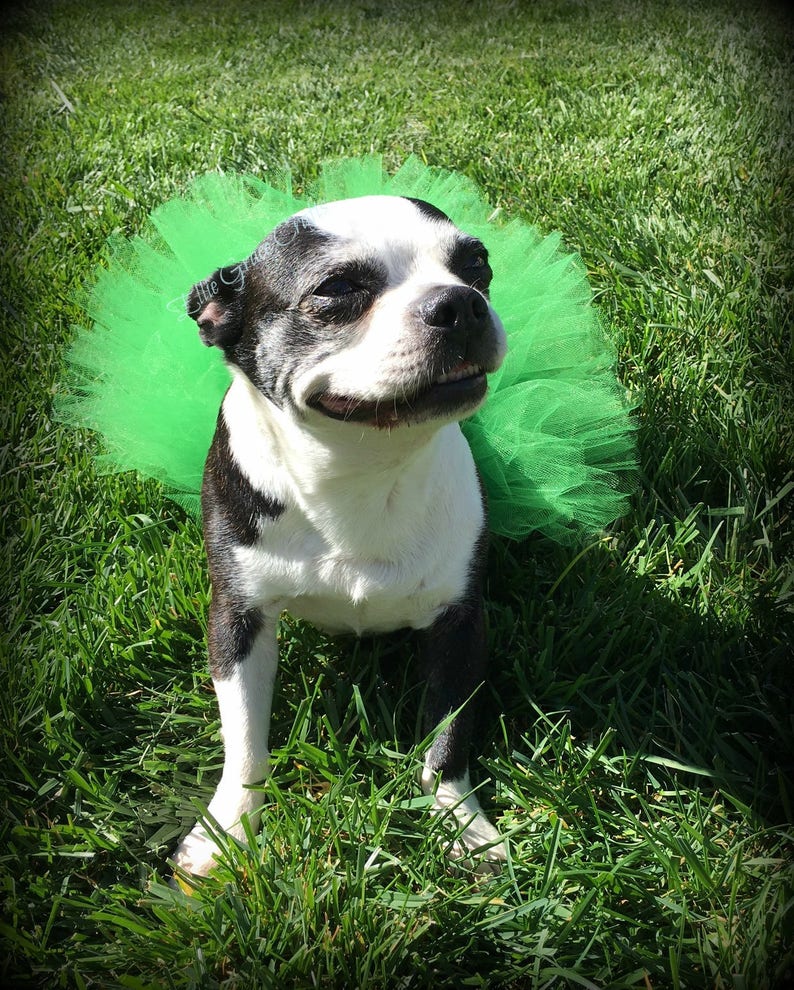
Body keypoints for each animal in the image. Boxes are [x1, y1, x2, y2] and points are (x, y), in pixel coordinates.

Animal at [172, 194, 508, 876]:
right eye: (338, 291)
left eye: (476, 266)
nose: (460, 302)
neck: (360, 472)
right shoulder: (237, 617)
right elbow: (244, 737)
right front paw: (228, 830)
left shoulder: (461, 619)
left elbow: (448, 736)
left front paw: (461, 825)